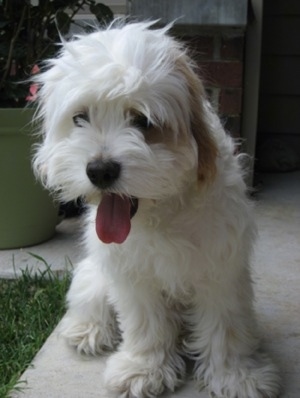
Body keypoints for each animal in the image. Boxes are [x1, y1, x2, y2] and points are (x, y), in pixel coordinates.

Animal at [33, 22, 282, 398]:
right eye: (80, 118)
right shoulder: (133, 275)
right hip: (94, 274)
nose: (100, 170)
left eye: (142, 121)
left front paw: (237, 376)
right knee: (88, 299)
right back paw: (89, 330)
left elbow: (225, 325)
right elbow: (146, 324)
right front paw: (143, 369)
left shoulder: (220, 270)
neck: (162, 210)